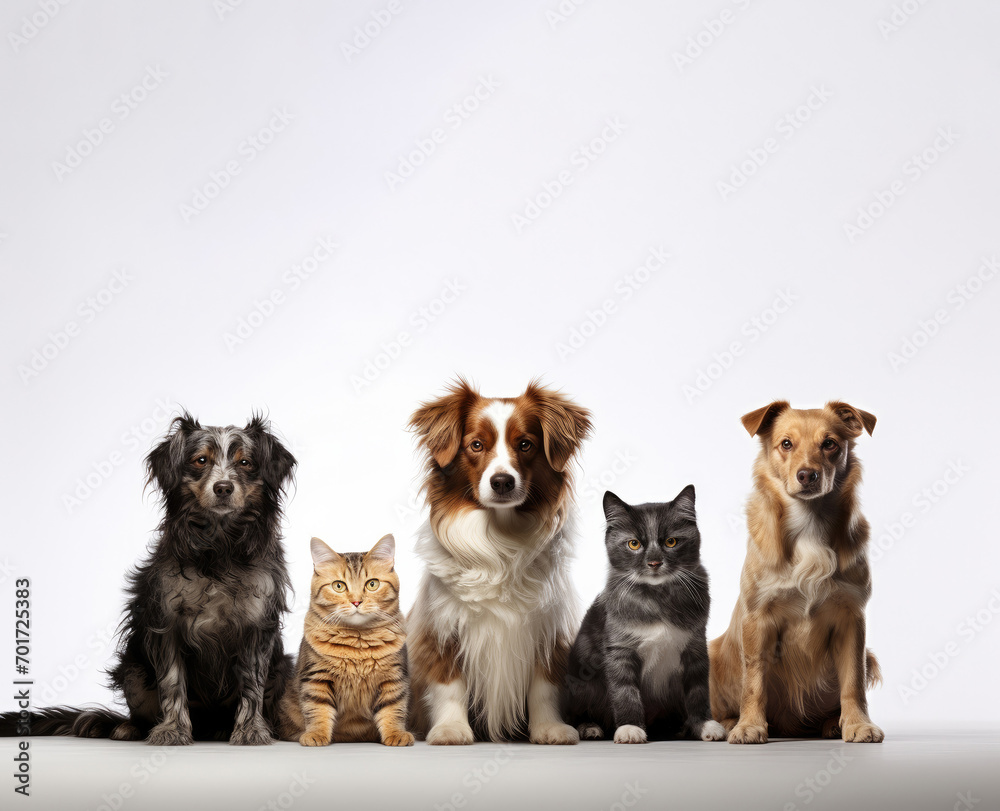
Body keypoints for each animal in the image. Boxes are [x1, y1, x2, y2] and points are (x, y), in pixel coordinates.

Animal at [0, 416, 296, 744]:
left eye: (245, 462)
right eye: (200, 460)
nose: (223, 487)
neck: (219, 548)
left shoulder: (258, 627)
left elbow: (252, 685)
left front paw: (250, 730)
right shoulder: (166, 622)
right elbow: (172, 682)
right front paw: (172, 730)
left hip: (283, 668)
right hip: (133, 670)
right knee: (139, 714)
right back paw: (128, 727)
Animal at [278, 532, 414, 748]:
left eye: (372, 584)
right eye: (339, 586)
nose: (356, 601)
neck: (357, 642)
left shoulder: (393, 678)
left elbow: (393, 710)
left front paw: (395, 733)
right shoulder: (317, 678)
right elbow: (317, 710)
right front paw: (316, 734)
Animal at [408, 378, 592, 744]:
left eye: (525, 444)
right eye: (476, 445)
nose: (502, 481)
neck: (499, 538)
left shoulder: (548, 628)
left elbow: (544, 686)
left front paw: (549, 728)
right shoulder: (442, 628)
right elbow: (449, 684)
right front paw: (451, 729)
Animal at [568, 488, 724, 744]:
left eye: (671, 541)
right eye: (634, 544)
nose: (654, 562)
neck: (657, 597)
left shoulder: (695, 646)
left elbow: (698, 690)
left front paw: (705, 725)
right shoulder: (620, 649)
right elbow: (625, 691)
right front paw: (630, 728)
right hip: (581, 682)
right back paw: (589, 727)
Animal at [712, 400, 884, 744]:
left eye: (829, 444)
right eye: (786, 444)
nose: (807, 475)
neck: (809, 525)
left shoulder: (852, 618)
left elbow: (853, 680)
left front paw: (857, 724)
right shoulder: (758, 618)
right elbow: (754, 682)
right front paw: (749, 726)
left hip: (870, 655)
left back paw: (833, 723)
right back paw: (726, 724)